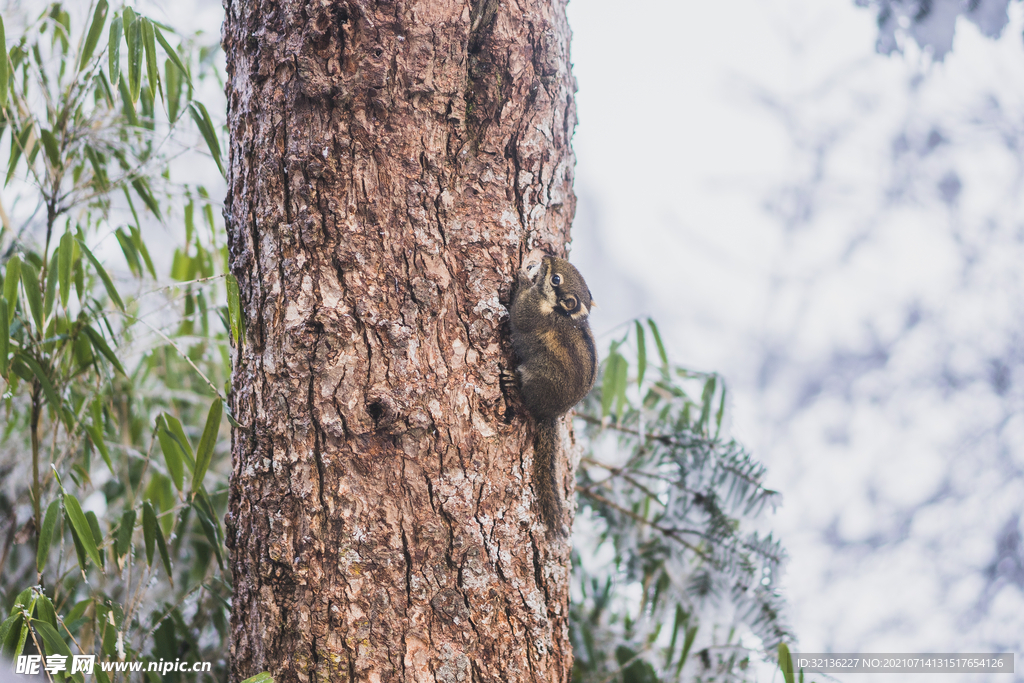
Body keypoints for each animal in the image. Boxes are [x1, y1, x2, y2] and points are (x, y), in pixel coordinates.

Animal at [505, 255, 598, 540]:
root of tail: (551, 413)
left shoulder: (531, 311)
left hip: (536, 380)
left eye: (556, 279)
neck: (561, 313)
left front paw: (524, 277)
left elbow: (517, 311)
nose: (547, 257)